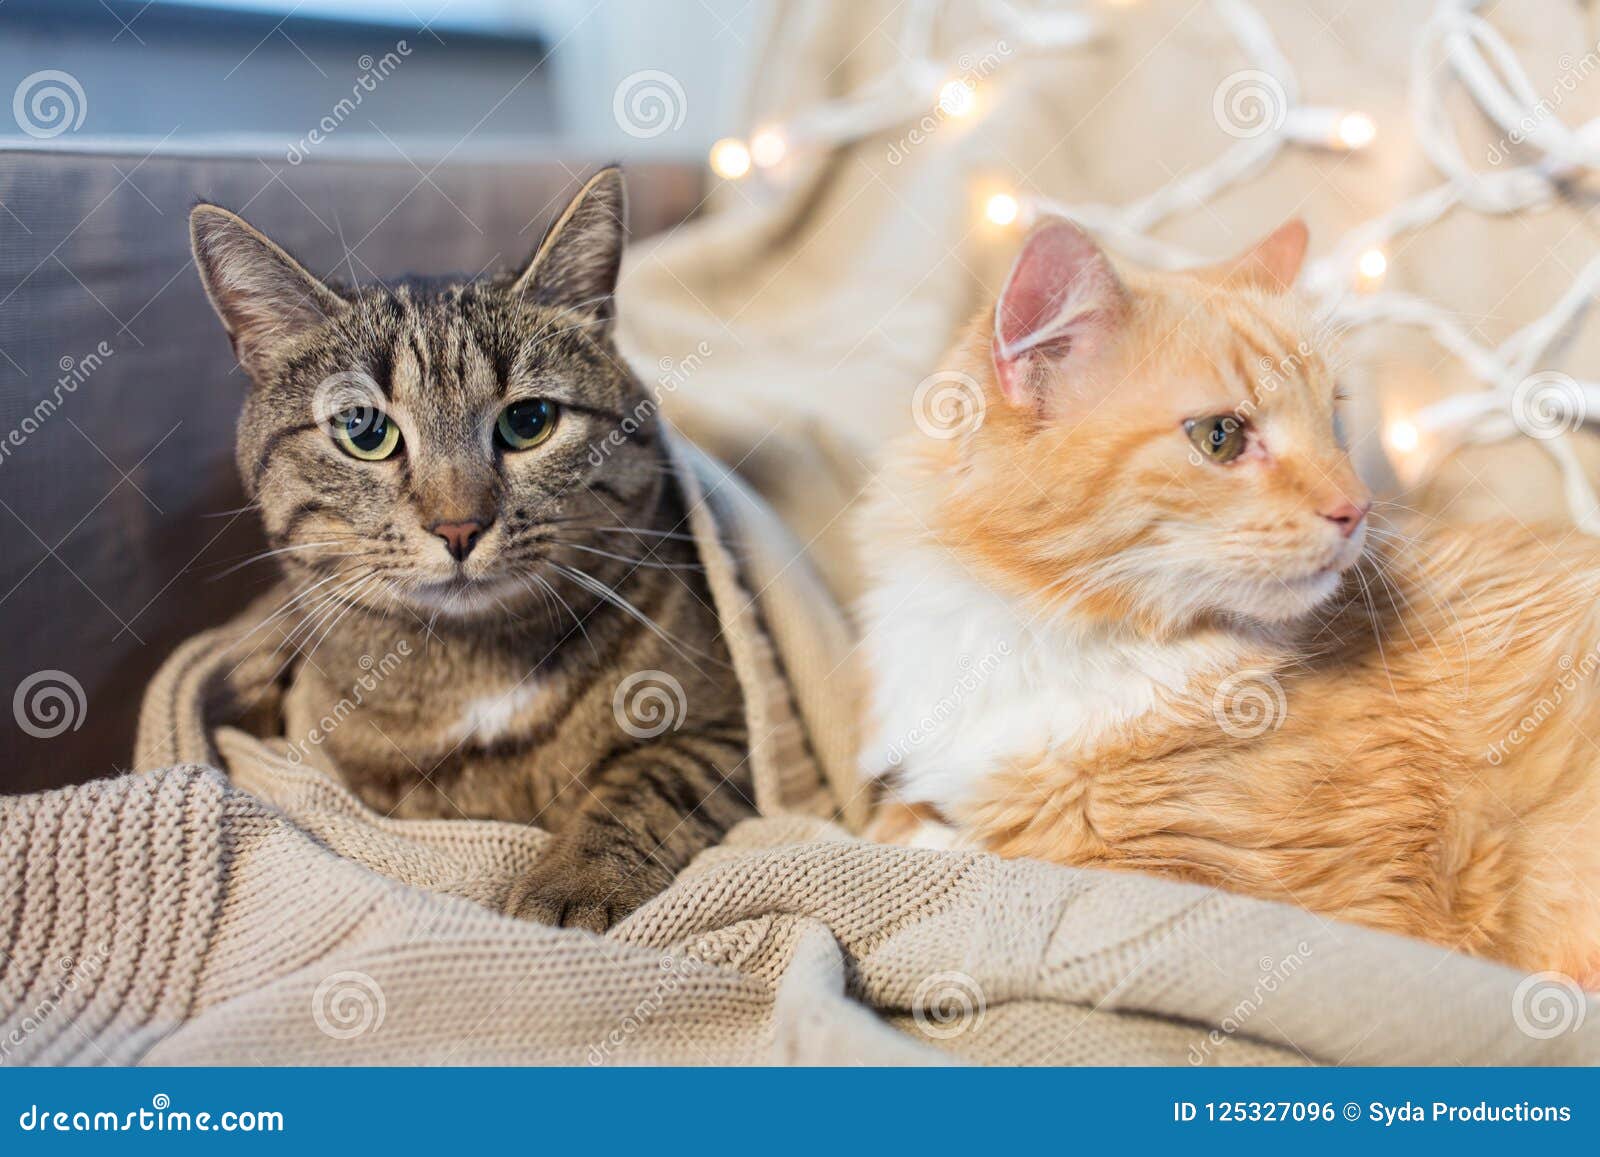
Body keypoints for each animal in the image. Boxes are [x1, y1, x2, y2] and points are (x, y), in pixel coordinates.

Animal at [190, 169, 752, 934]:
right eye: (363, 429)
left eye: (530, 420)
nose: (459, 526)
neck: (478, 664)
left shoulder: (723, 726)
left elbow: (645, 784)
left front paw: (574, 880)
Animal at [864, 214, 1600, 979]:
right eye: (1220, 437)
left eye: (1333, 424)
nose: (1358, 508)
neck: (1053, 641)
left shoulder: (1280, 895)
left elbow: (999, 853)